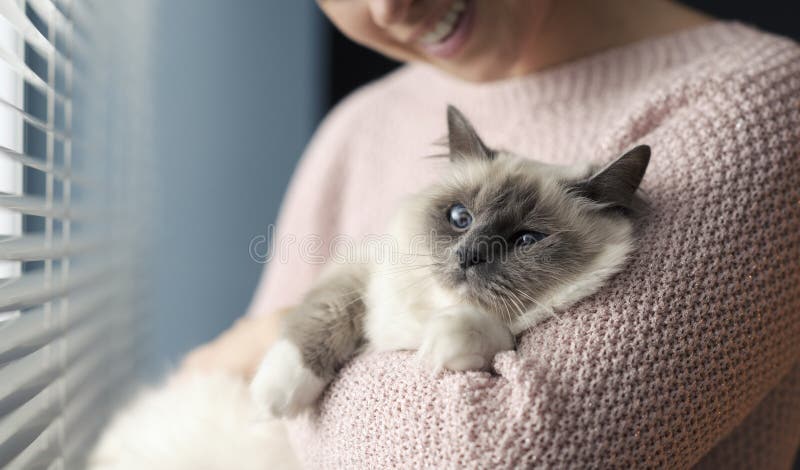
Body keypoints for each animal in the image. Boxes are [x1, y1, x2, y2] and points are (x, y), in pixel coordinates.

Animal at [253, 104, 652, 416]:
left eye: (525, 240)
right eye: (460, 218)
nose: (468, 256)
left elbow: (493, 334)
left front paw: (443, 342)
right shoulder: (358, 269)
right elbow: (322, 316)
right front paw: (274, 398)